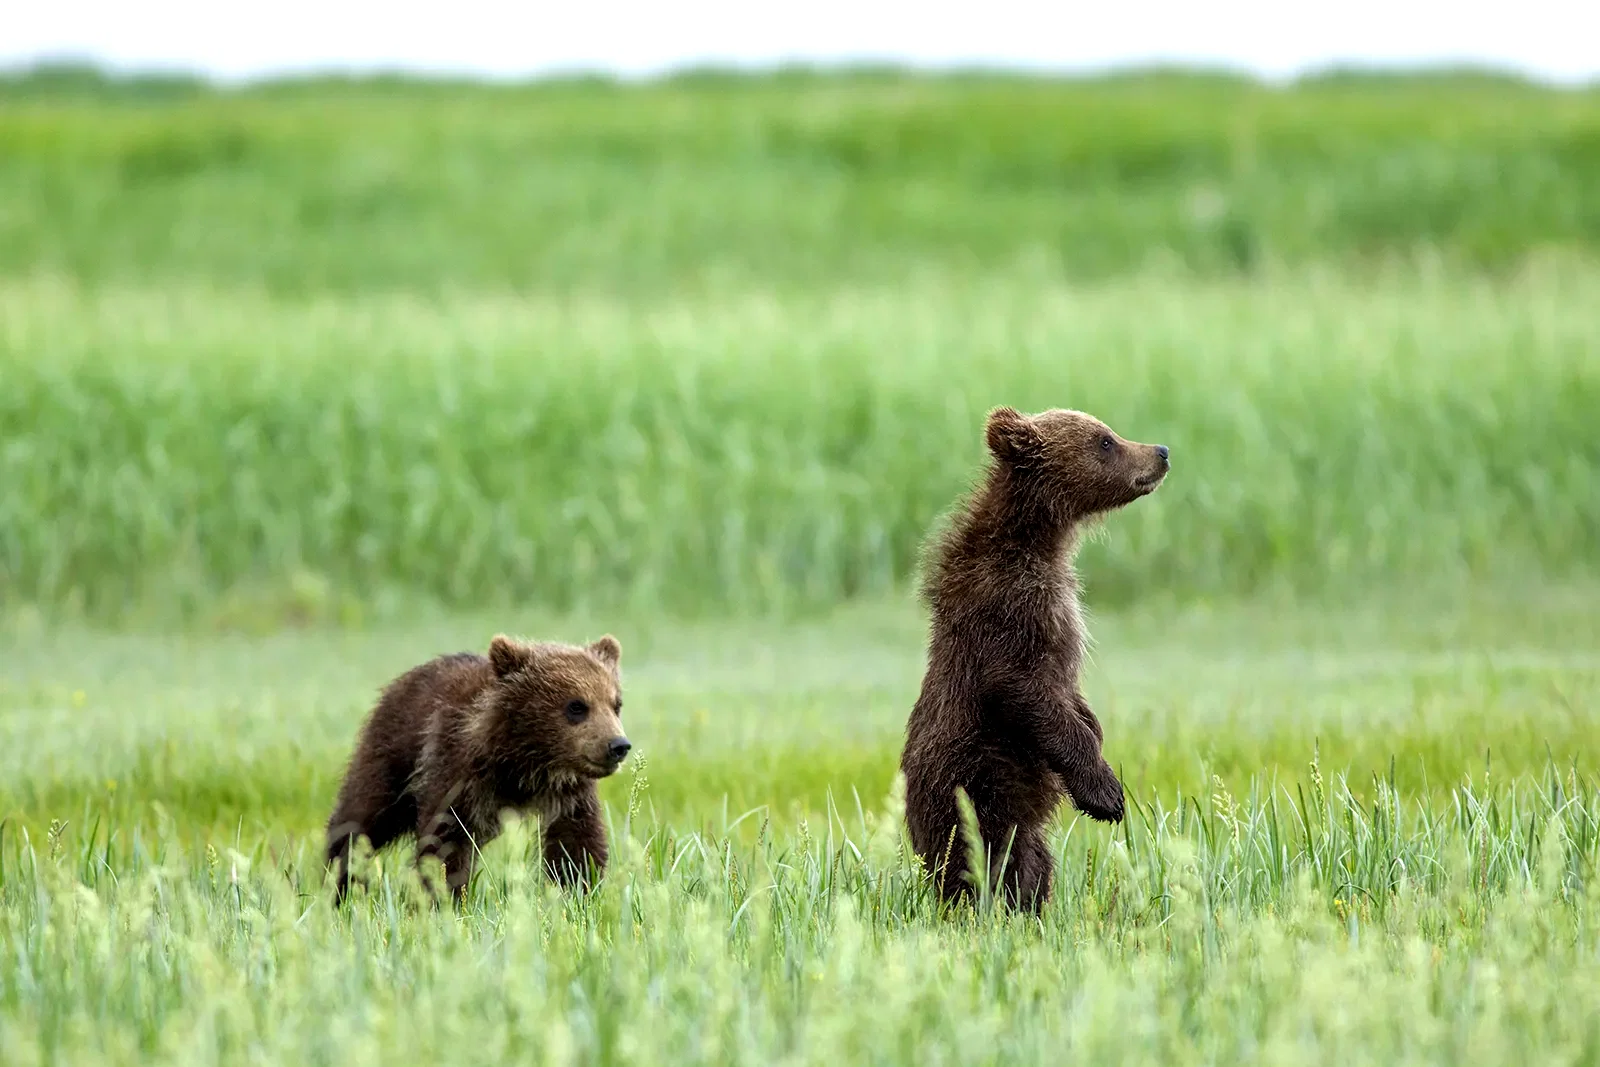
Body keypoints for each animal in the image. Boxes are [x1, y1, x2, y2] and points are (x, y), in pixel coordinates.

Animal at [324, 633, 630, 906]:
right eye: (577, 706)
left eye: (616, 704)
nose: (618, 745)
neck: (523, 765)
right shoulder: (458, 774)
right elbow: (445, 842)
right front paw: (443, 898)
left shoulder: (569, 792)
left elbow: (575, 845)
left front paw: (577, 892)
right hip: (391, 756)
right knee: (362, 818)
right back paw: (337, 883)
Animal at [899, 406, 1170, 913]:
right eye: (1105, 441)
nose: (1161, 451)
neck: (1039, 542)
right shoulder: (1009, 613)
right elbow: (1025, 691)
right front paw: (1105, 794)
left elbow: (1071, 699)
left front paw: (1096, 729)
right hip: (975, 789)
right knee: (985, 862)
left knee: (1032, 862)